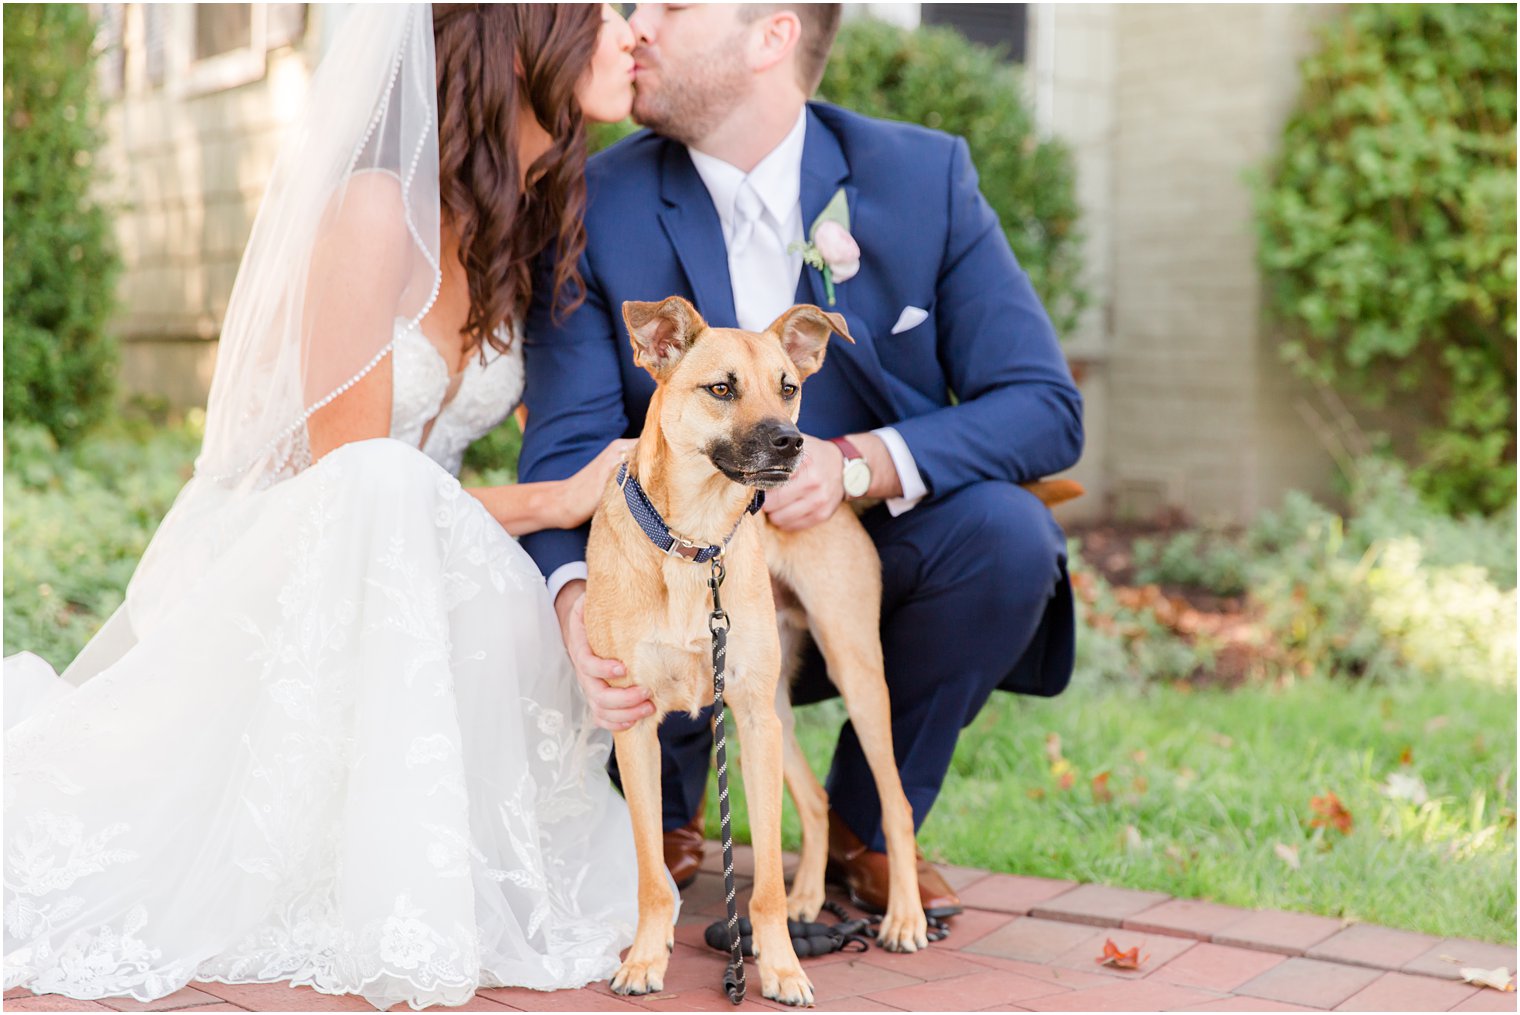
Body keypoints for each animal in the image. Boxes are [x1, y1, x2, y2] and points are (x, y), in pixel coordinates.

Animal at [586, 294, 924, 1008]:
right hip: (775, 714)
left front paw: (783, 970)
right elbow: (650, 871)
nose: (792, 442)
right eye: (721, 389)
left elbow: (763, 879)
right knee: (818, 802)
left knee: (897, 804)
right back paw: (810, 901)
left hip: (849, 681)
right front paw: (645, 960)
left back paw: (904, 917)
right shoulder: (636, 724)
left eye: (788, 387)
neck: (695, 543)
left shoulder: (748, 717)